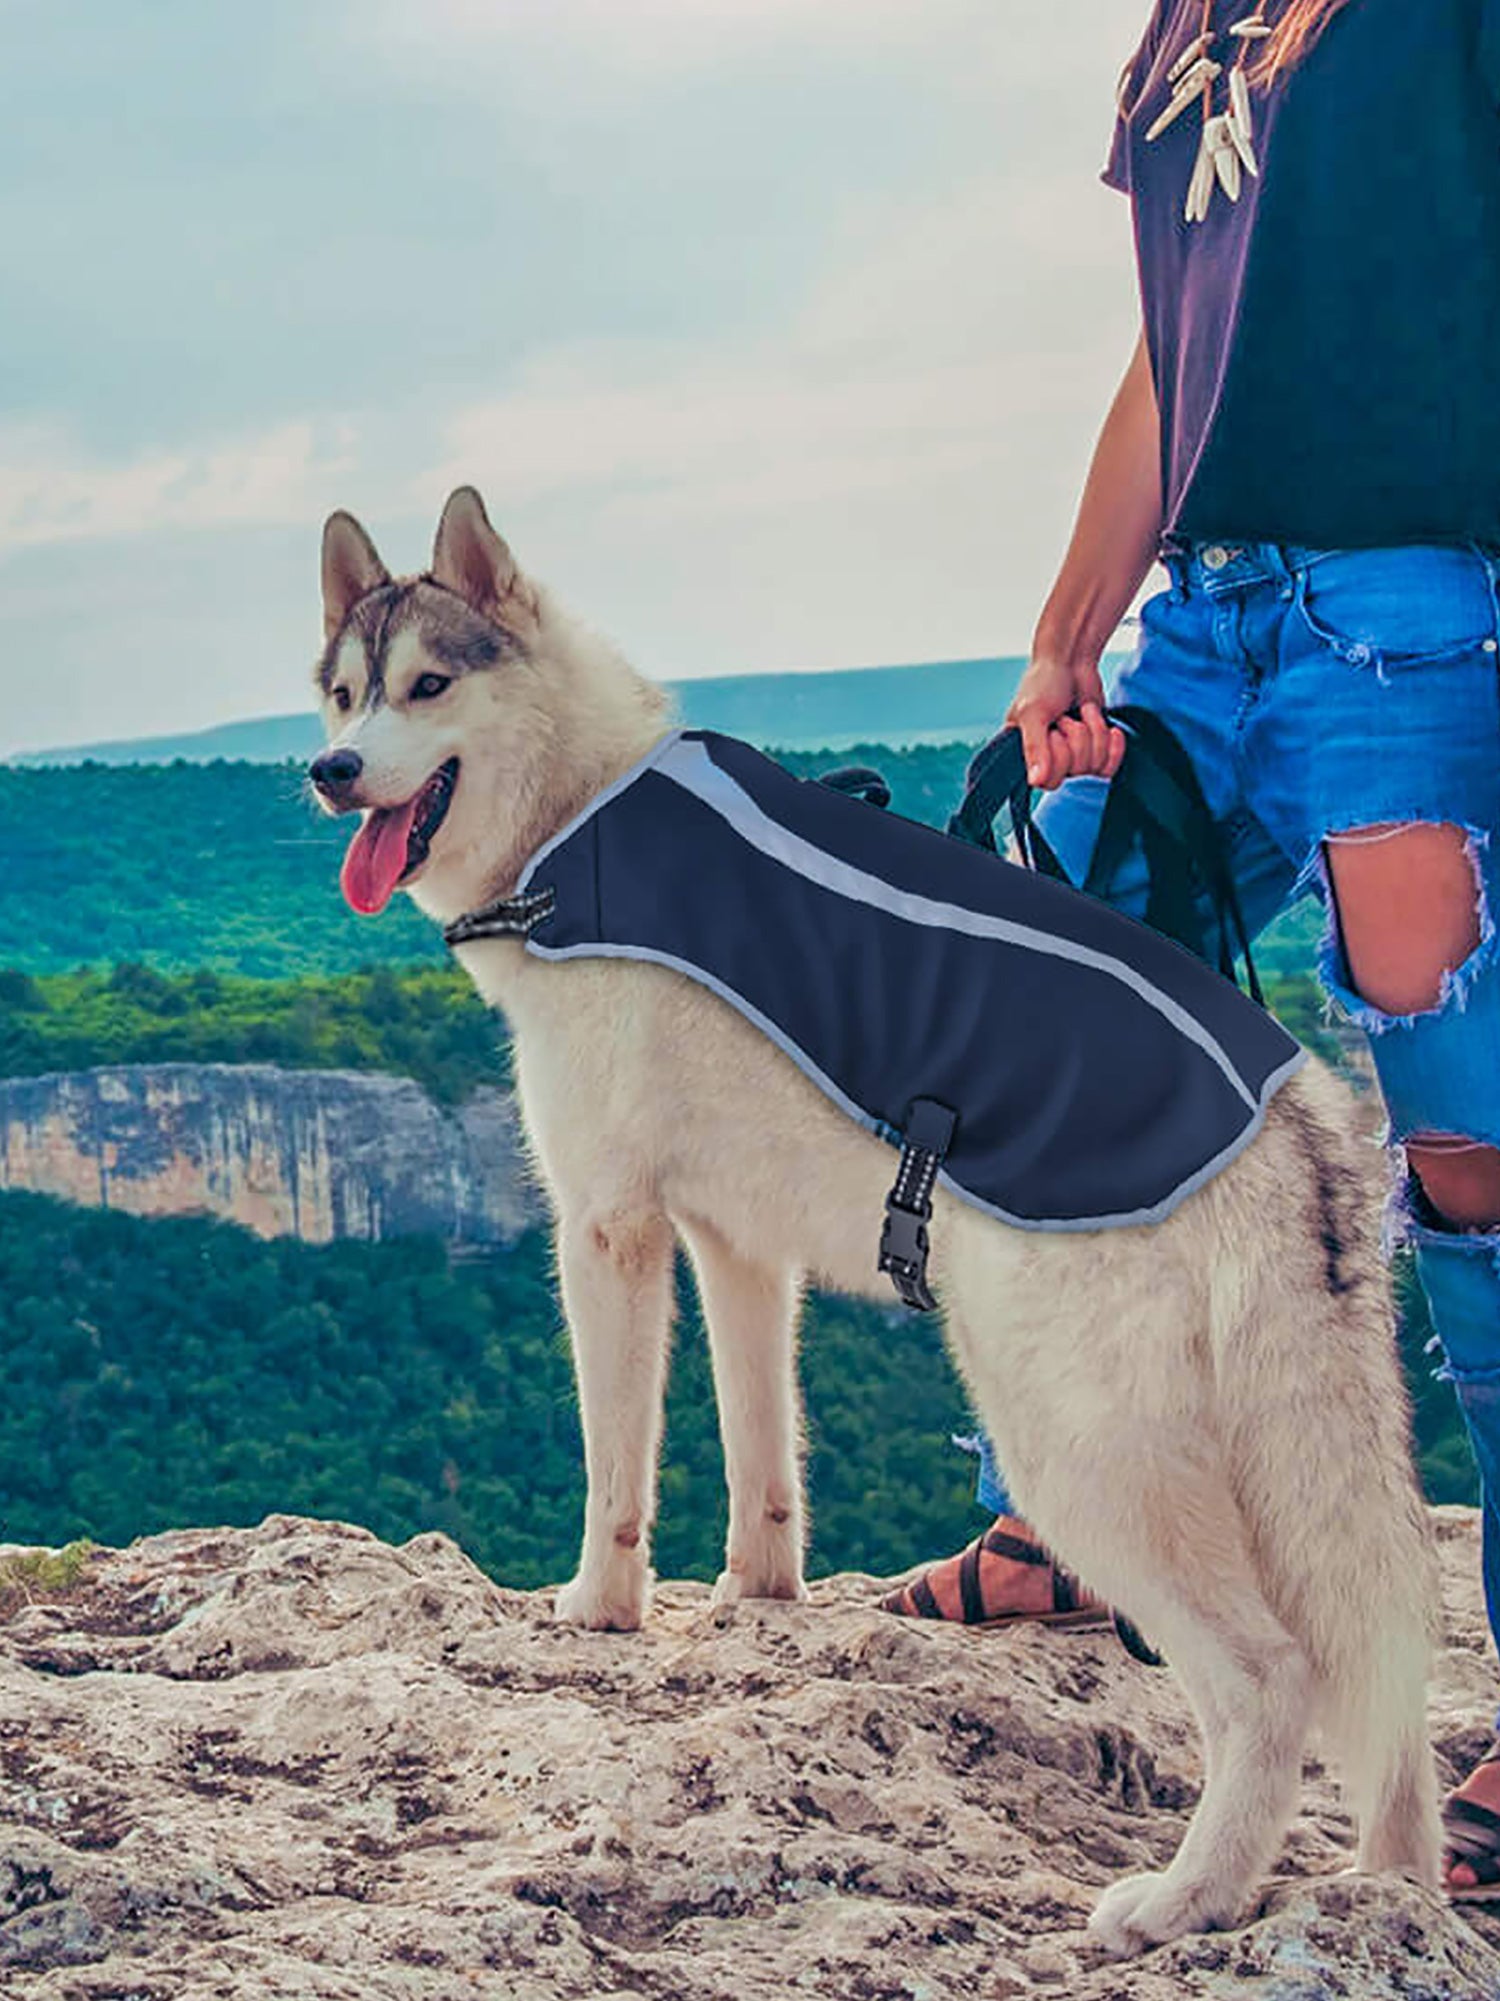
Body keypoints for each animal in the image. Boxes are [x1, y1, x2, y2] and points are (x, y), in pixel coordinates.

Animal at [308, 484, 1448, 1952]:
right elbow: (763, 1455)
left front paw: (597, 1613)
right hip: (1299, 1467)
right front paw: (757, 1596)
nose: (330, 772)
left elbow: (616, 1469)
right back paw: (1393, 1888)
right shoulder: (736, 1250)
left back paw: (1190, 1895)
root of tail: (1291, 1117)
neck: (581, 809)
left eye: (429, 687)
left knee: (1272, 1678)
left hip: (1081, 1454)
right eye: (343, 695)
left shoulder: (608, 1230)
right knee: (1390, 1685)